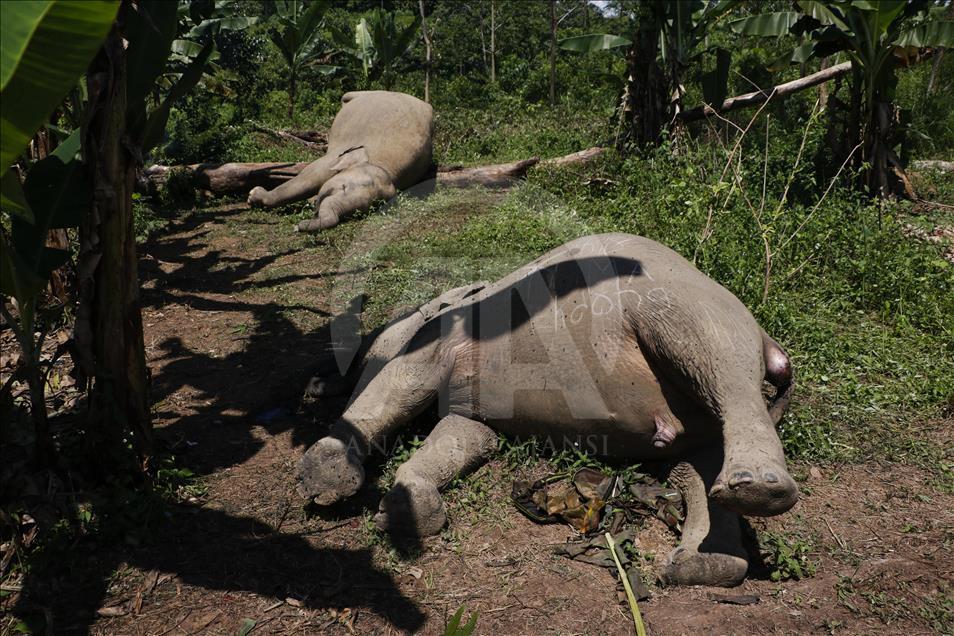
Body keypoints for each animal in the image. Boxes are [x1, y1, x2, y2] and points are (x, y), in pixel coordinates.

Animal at [245, 90, 432, 232]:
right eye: (343, 187)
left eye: (357, 212)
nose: (297, 227)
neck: (384, 167)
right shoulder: (336, 156)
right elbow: (306, 178)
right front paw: (254, 194)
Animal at [300, 232, 796, 588]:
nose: (315, 386)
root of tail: (767, 340)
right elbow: (468, 437)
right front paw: (403, 513)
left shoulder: (438, 339)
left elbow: (402, 384)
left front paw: (323, 483)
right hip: (697, 408)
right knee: (697, 467)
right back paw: (703, 564)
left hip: (683, 302)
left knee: (714, 359)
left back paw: (761, 489)